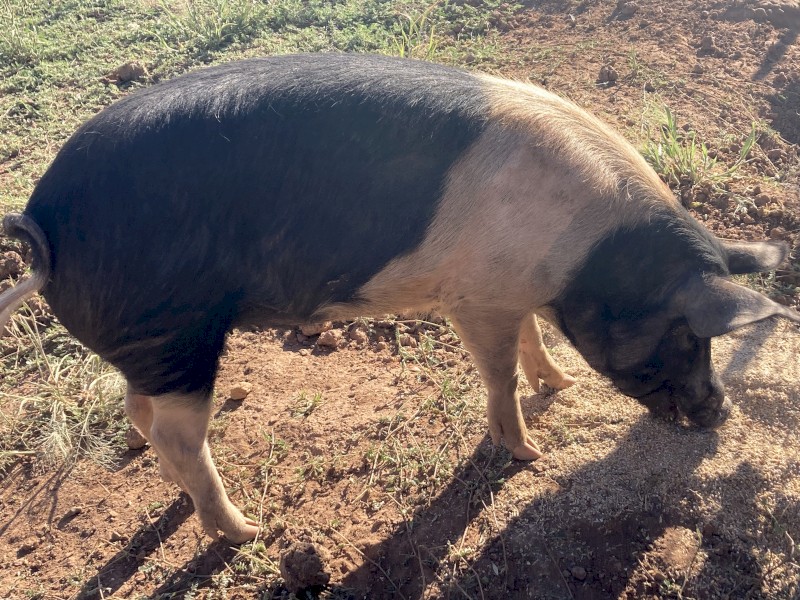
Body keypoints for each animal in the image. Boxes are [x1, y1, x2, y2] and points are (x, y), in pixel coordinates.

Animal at [1, 54, 798, 543]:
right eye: (690, 336)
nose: (721, 411)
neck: (579, 258)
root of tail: (43, 223)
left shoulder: (507, 293)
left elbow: (533, 342)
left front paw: (561, 384)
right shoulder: (475, 299)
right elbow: (498, 375)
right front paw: (530, 453)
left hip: (152, 347)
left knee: (139, 412)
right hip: (179, 336)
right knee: (175, 433)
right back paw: (249, 532)